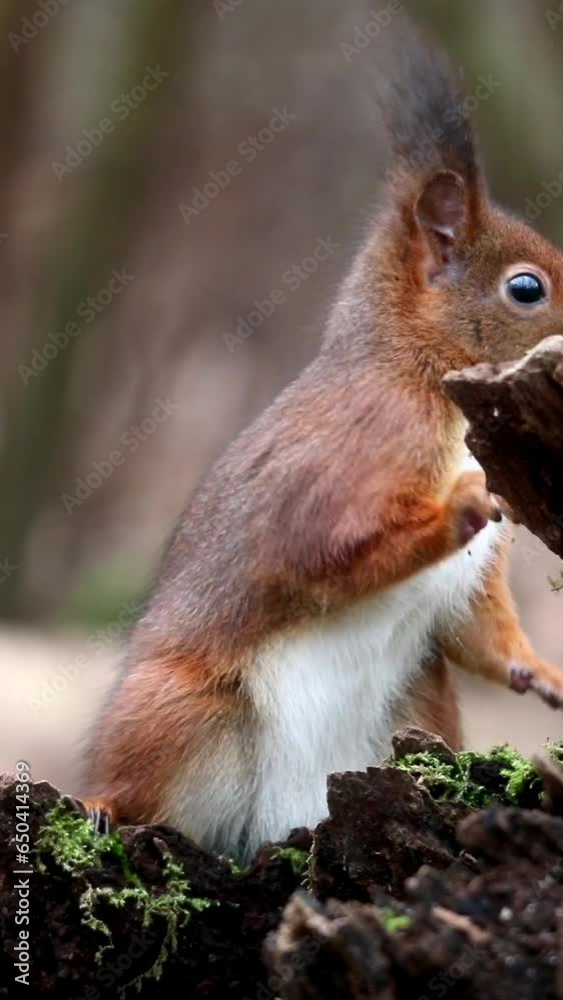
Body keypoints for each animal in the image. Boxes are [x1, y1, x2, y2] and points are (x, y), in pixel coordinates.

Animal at [83, 27, 563, 864]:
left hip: (418, 707)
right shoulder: (356, 454)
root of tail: (282, 820)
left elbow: (480, 629)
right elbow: (319, 553)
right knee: (133, 781)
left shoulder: (473, 584)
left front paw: (541, 673)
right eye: (526, 289)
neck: (421, 377)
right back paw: (101, 807)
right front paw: (454, 510)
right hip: (177, 708)